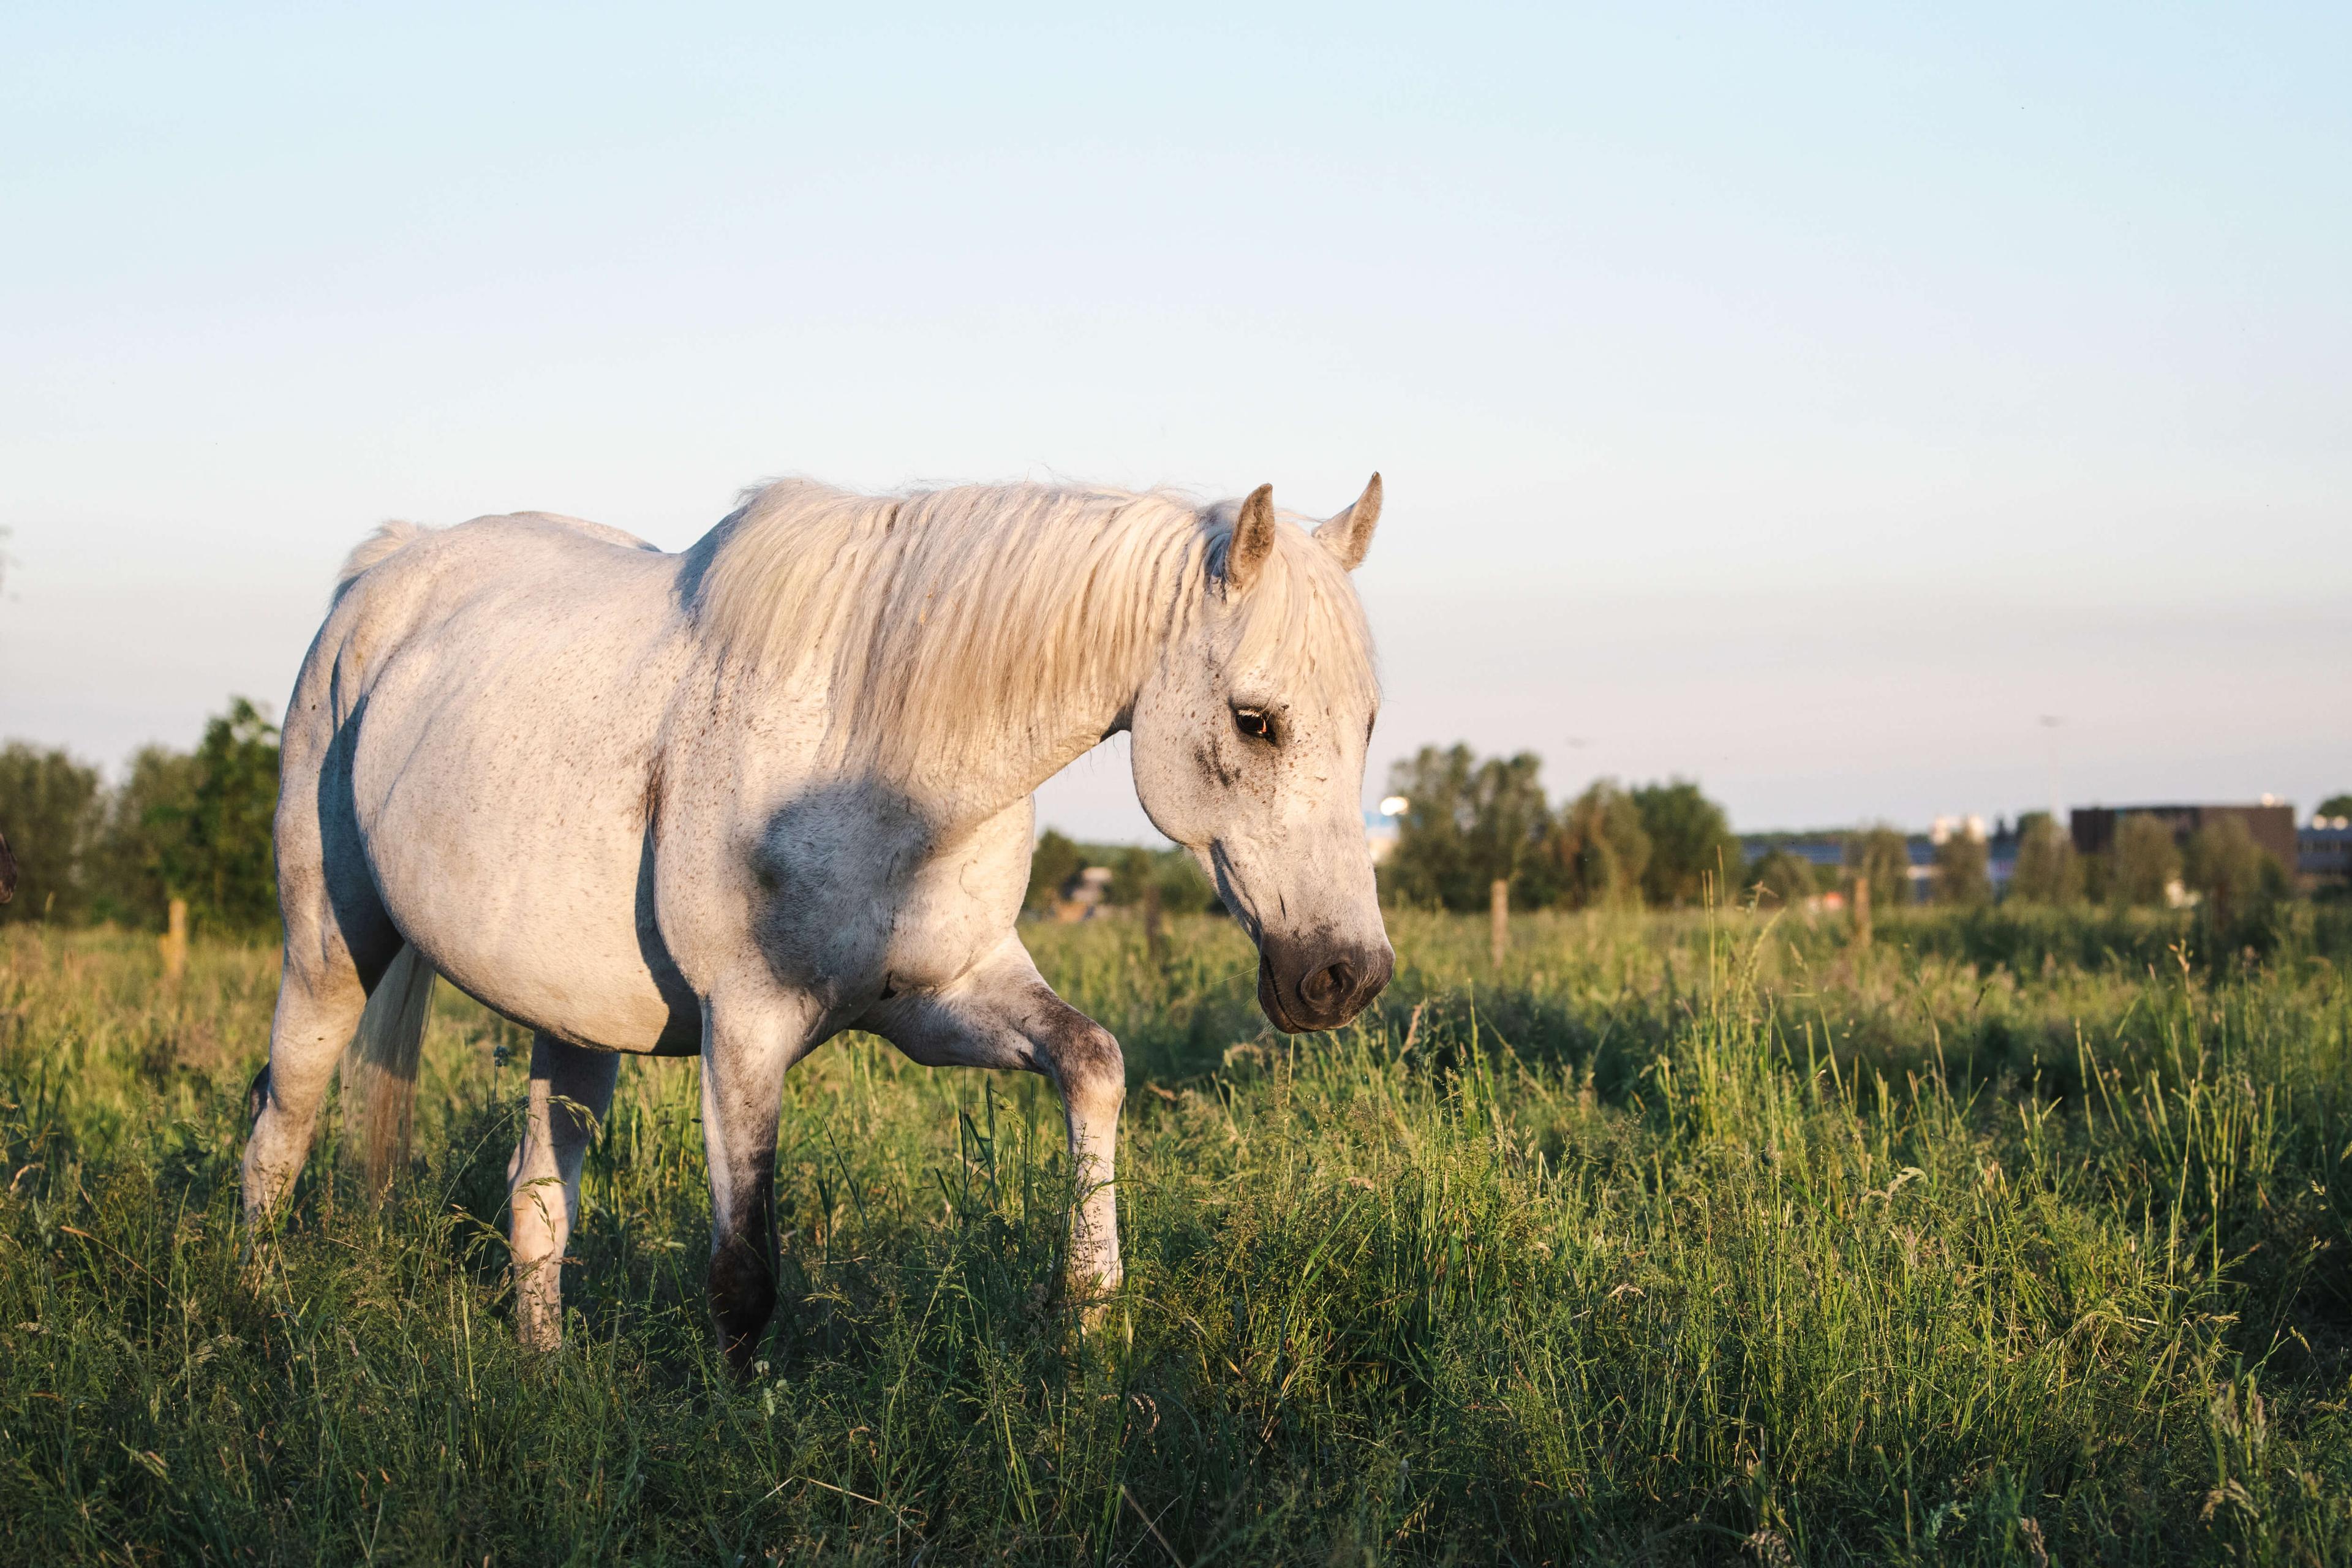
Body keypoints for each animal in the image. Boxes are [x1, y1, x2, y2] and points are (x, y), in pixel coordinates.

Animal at [239, 471, 1393, 1367]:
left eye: (1370, 722)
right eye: (1255, 720)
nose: (1346, 976)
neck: (879, 753)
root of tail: (388, 569)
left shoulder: (939, 1000)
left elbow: (1094, 1063)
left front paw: (1090, 1315)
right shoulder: (746, 1032)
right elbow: (745, 1272)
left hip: (569, 1029)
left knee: (535, 1204)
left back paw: (543, 1377)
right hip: (330, 953)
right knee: (275, 1132)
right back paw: (252, 1320)